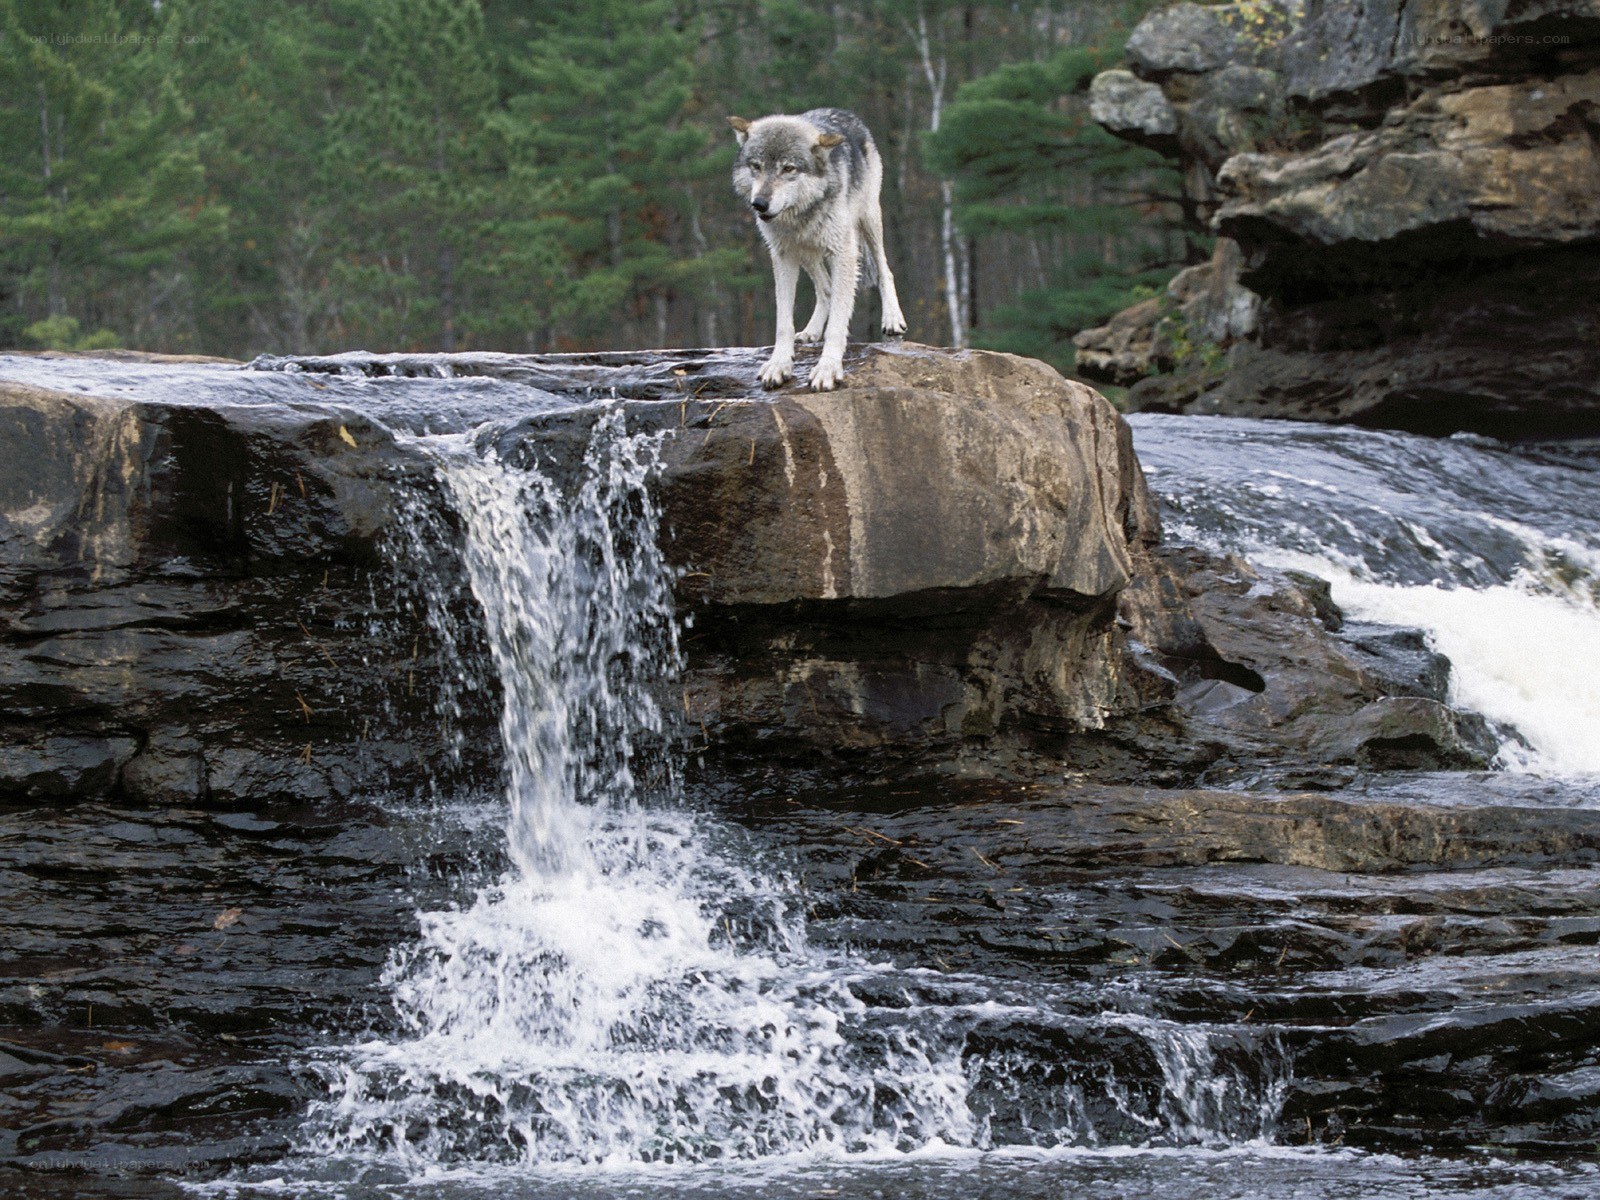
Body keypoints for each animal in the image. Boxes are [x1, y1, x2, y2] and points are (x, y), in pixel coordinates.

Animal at [728, 108, 907, 391]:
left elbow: (837, 323)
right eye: (756, 166)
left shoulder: (843, 253)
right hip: (807, 252)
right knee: (825, 288)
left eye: (788, 168)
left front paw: (828, 368)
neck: (800, 213)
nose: (759, 204)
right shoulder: (783, 256)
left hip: (869, 220)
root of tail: (845, 112)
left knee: (883, 270)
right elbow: (783, 323)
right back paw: (812, 331)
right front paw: (779, 365)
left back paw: (891, 318)